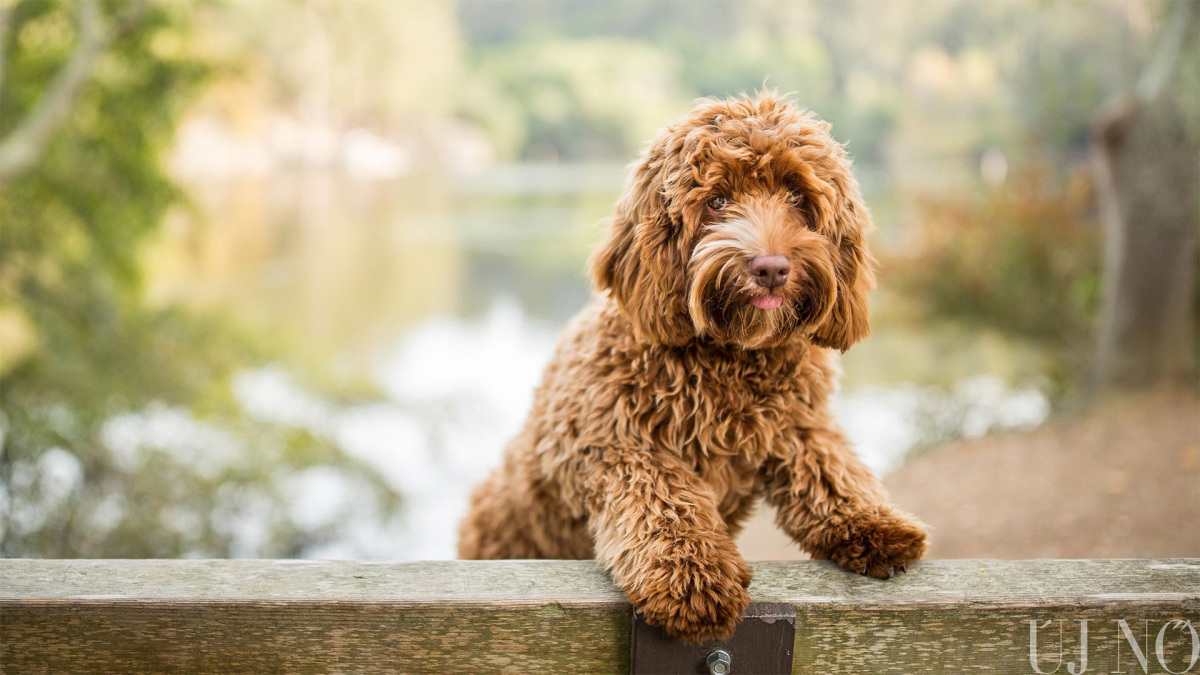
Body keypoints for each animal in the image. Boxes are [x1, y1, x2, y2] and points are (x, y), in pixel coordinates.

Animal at [458, 90, 926, 638]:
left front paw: (874, 521)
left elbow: (829, 465)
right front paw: (693, 577)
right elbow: (665, 498)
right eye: (718, 200)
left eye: (796, 197)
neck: (730, 359)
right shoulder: (613, 445)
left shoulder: (798, 423)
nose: (771, 268)